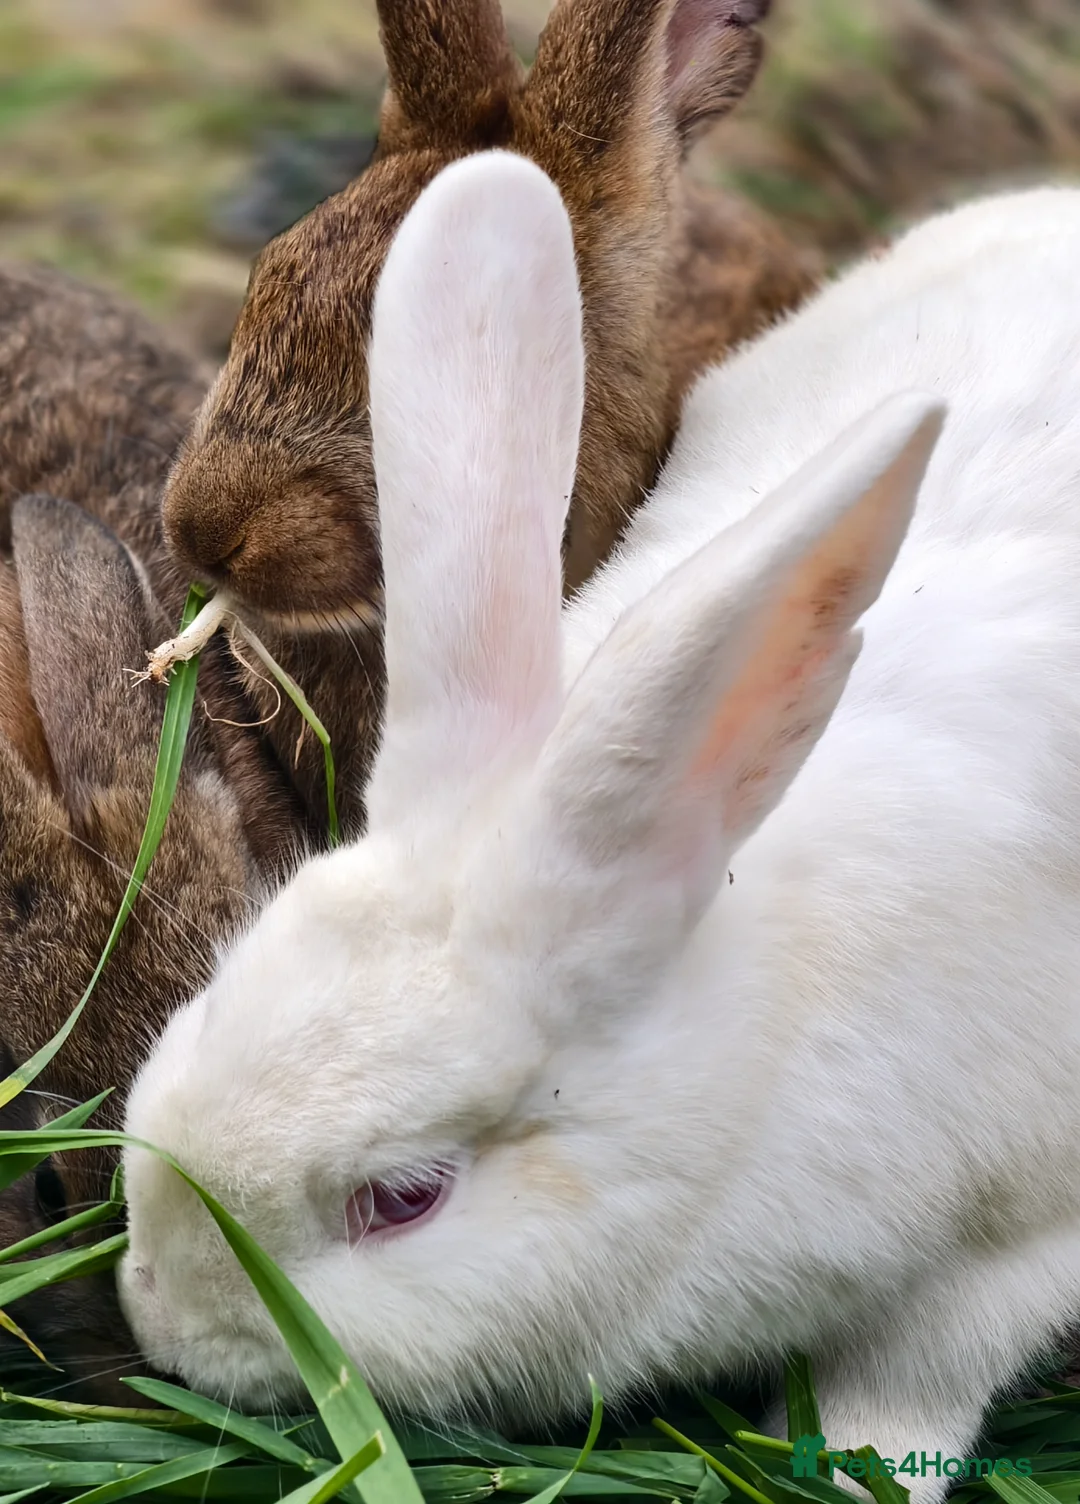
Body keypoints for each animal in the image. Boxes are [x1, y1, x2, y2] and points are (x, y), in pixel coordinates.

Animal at [118, 148, 1080, 1499]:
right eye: (206, 1002)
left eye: (403, 1198)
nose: (157, 1312)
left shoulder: (1010, 1248)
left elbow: (908, 1395)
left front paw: (855, 1471)